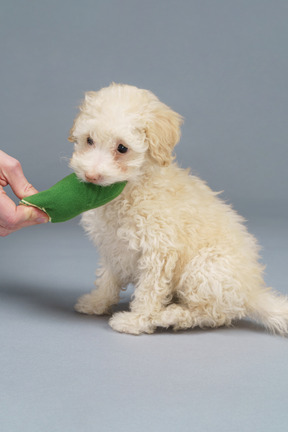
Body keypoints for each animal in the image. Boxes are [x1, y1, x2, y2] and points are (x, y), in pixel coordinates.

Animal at [68, 82, 286, 336]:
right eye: (89, 140)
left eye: (122, 148)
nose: (91, 175)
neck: (129, 190)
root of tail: (251, 293)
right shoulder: (112, 246)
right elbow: (107, 279)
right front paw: (97, 302)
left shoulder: (158, 249)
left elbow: (149, 292)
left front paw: (136, 321)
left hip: (204, 267)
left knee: (211, 314)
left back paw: (169, 316)